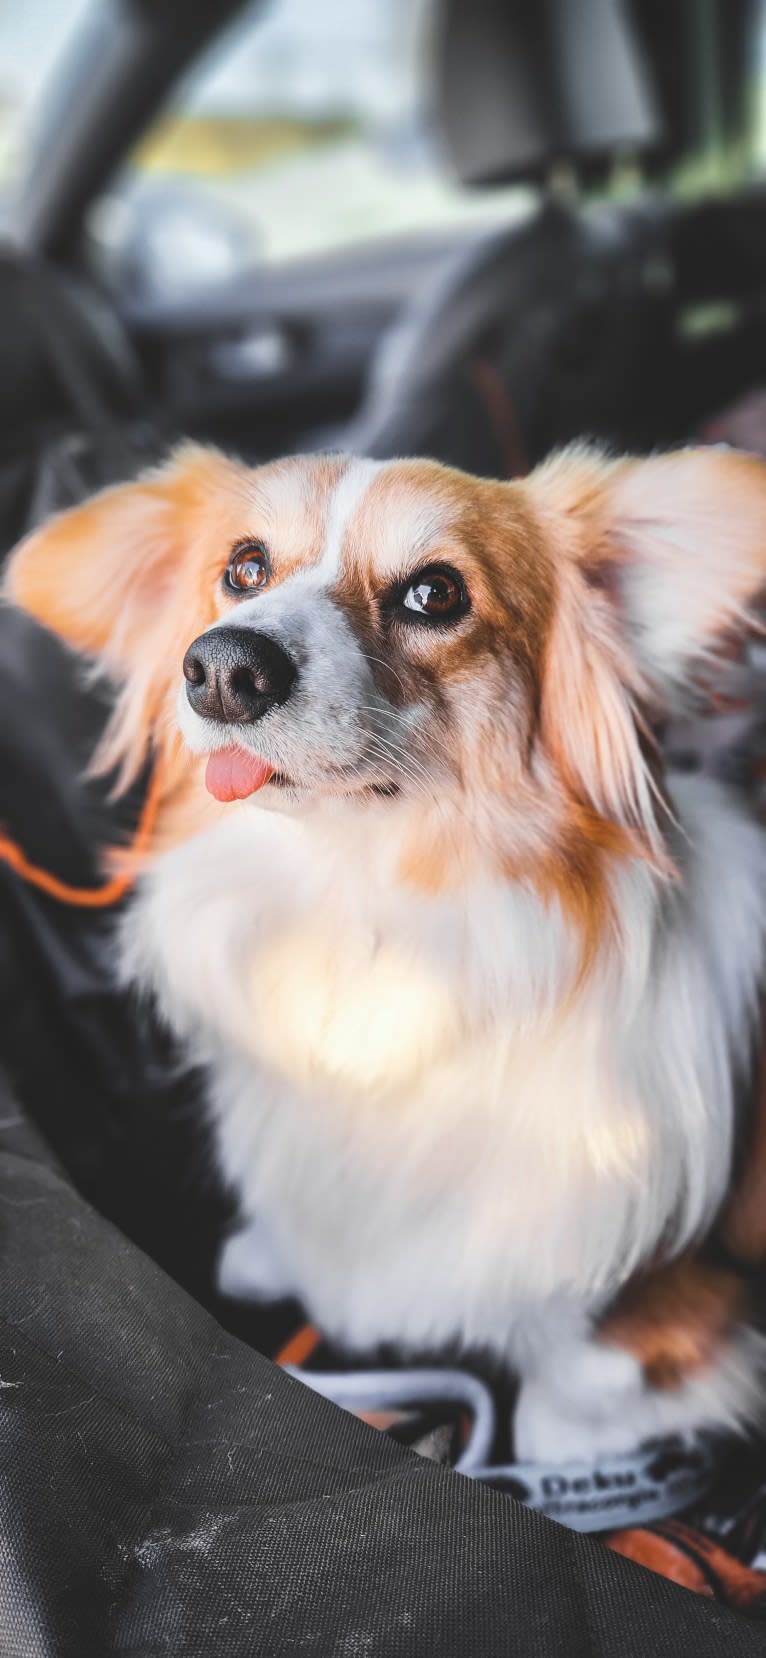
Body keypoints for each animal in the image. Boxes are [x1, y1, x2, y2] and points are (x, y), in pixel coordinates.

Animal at [8, 444, 766, 1465]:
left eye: (434, 593)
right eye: (244, 568)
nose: (222, 665)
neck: (359, 911)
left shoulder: (630, 1305)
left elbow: (563, 1396)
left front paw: (566, 1444)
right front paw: (272, 1252)